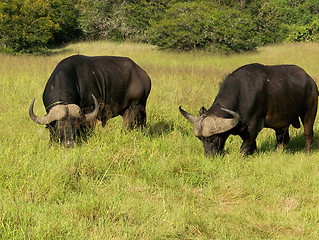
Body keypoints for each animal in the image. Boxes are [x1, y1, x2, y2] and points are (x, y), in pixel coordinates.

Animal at [181, 62, 318, 156]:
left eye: (214, 138)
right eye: (201, 139)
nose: (209, 155)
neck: (242, 95)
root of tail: (310, 81)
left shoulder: (253, 126)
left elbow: (245, 147)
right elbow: (252, 145)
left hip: (309, 112)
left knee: (308, 133)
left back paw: (307, 151)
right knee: (282, 138)